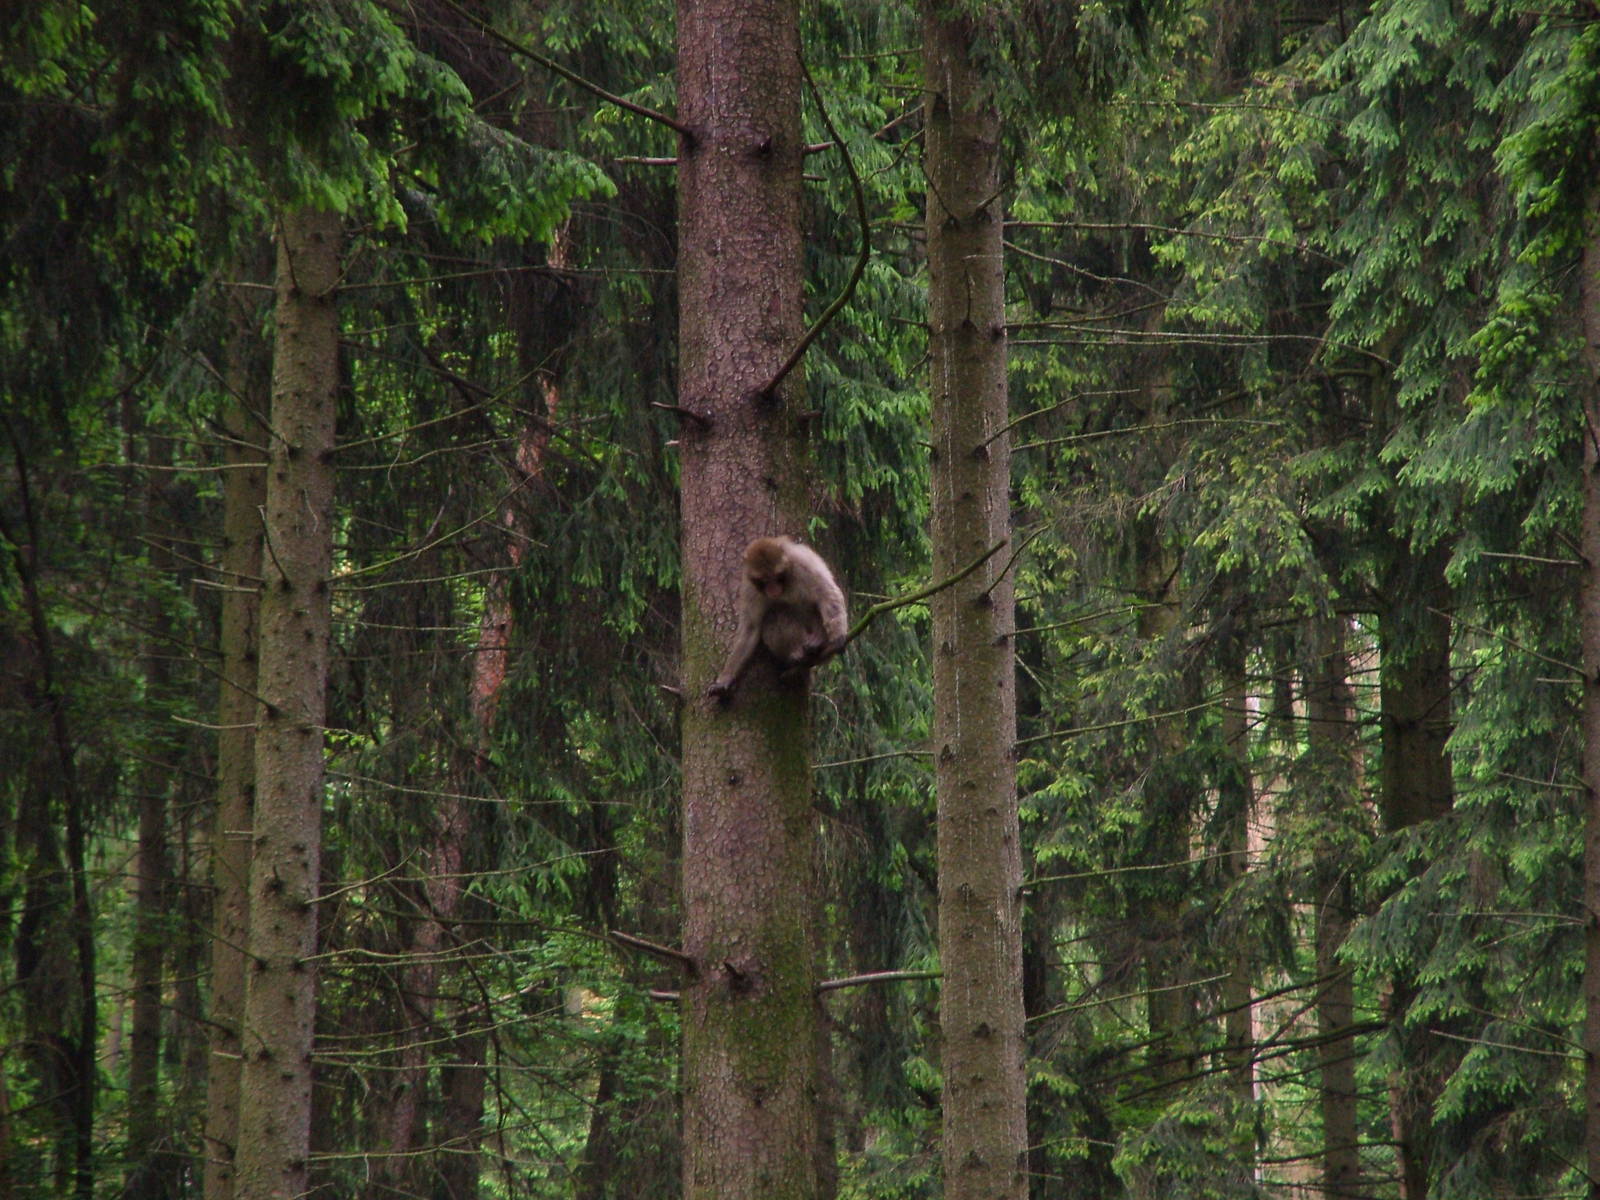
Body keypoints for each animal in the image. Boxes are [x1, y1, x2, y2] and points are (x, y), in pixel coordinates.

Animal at [707, 535, 848, 701]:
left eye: (776, 577)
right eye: (764, 580)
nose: (772, 589)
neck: (786, 583)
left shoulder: (803, 564)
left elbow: (827, 594)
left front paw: (838, 636)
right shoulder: (750, 586)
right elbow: (751, 627)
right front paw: (726, 678)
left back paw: (818, 640)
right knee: (774, 615)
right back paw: (795, 653)